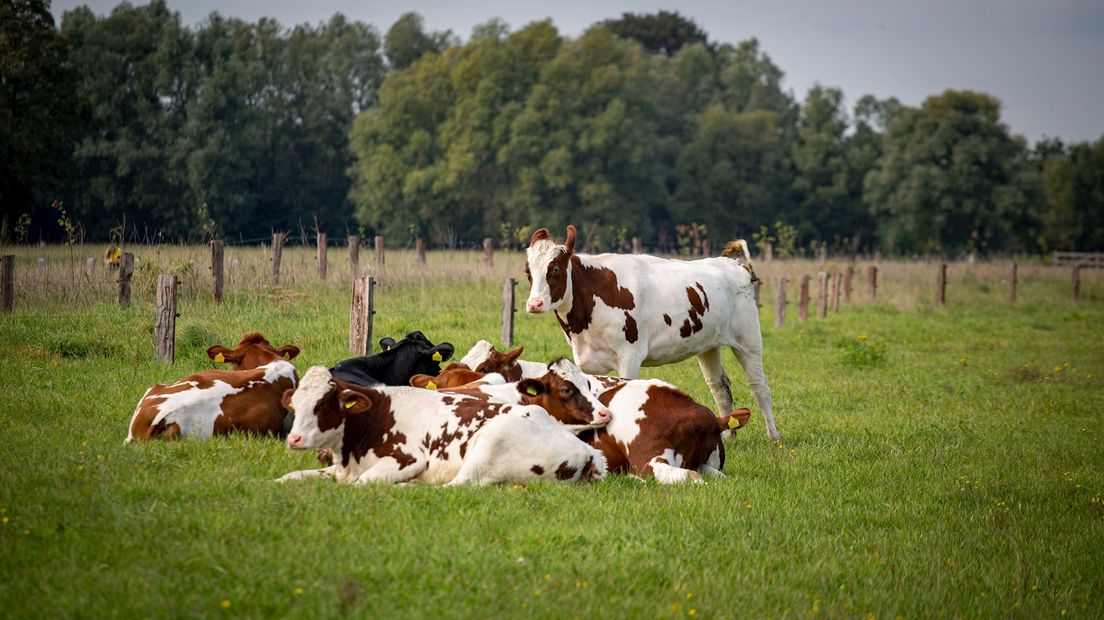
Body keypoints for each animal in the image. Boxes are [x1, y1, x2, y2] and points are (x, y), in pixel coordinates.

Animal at [273, 359, 604, 485]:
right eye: (297, 403)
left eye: (321, 405)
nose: (294, 439)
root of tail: (586, 453)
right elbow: (292, 476)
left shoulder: (408, 460)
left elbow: (361, 484)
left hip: (490, 441)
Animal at [523, 223, 777, 441]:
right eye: (527, 271)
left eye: (555, 269)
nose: (534, 304)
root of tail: (734, 265)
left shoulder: (629, 356)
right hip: (709, 346)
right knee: (719, 386)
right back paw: (728, 437)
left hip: (748, 341)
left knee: (759, 386)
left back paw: (774, 437)